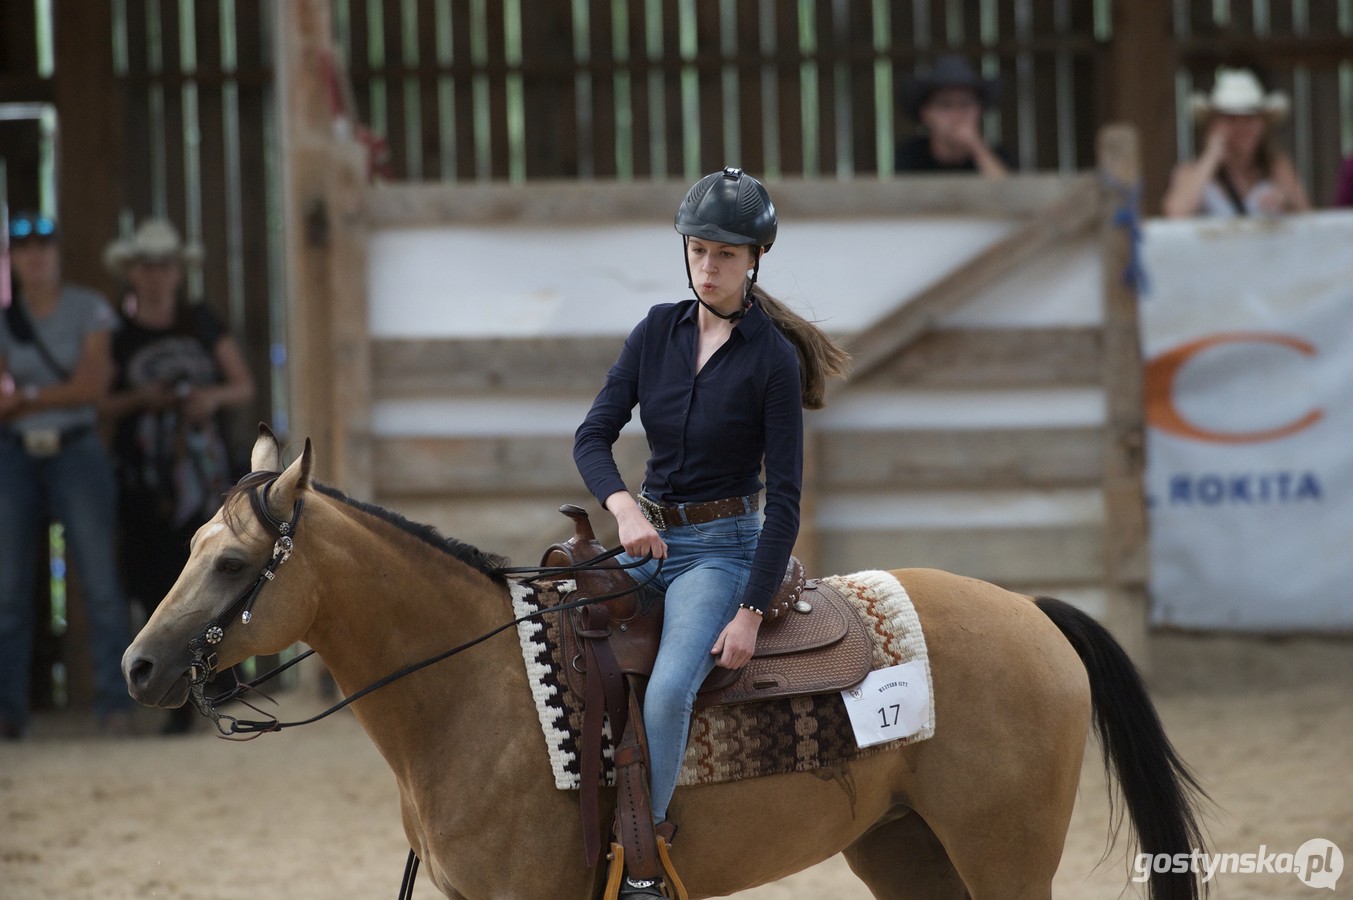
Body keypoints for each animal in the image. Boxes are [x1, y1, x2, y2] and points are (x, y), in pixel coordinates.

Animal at [124, 430, 1206, 898]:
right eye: (189, 545)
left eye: (230, 563)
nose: (137, 666)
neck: (479, 695)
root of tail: (1031, 612)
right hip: (906, 852)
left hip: (1003, 855)